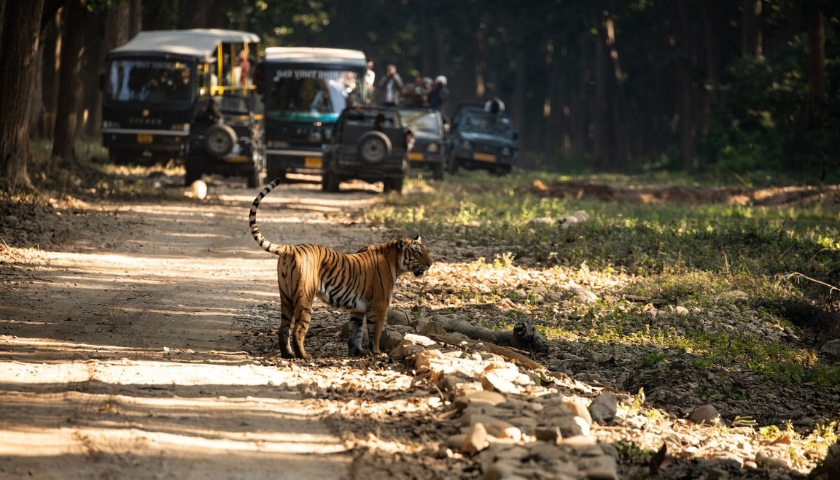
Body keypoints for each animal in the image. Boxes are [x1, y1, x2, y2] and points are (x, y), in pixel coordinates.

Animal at [248, 180, 434, 360]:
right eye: (417, 252)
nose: (431, 263)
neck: (395, 262)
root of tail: (291, 248)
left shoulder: (358, 308)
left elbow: (356, 331)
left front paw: (357, 352)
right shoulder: (379, 305)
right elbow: (375, 332)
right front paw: (377, 353)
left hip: (285, 296)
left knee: (283, 327)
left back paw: (288, 355)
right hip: (304, 297)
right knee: (298, 329)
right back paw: (304, 356)